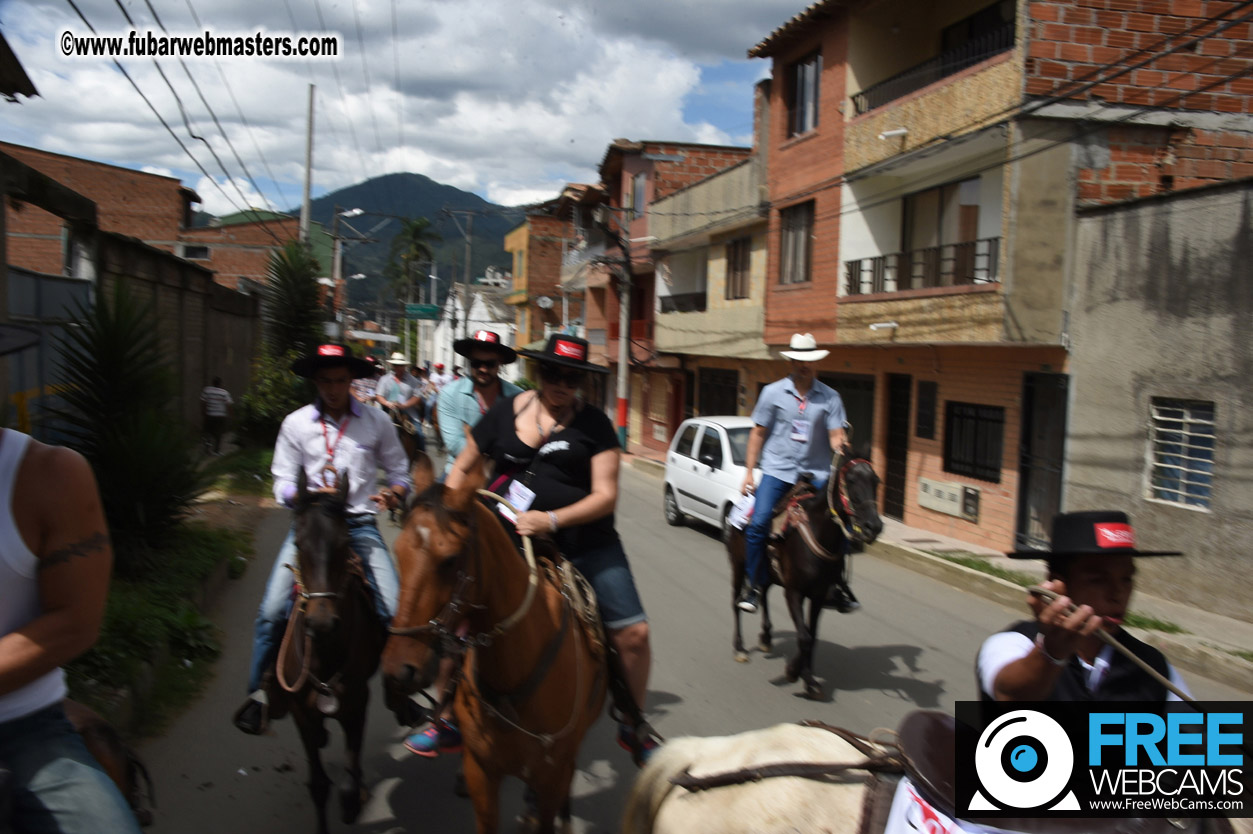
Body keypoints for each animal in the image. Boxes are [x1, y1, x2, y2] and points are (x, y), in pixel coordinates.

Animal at [271, 463, 388, 831]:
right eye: (298, 542)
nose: (321, 623)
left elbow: (348, 785)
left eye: (345, 542)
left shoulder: (357, 706)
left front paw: (353, 805)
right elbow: (319, 785)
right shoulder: (301, 714)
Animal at [721, 450, 887, 696]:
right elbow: (804, 636)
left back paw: (766, 637)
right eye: (851, 480)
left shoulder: (817, 595)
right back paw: (739, 647)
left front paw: (806, 677)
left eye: (876, 481)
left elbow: (812, 635)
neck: (818, 533)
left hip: (769, 572)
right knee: (735, 602)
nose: (873, 526)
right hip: (738, 565)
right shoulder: (794, 592)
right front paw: (794, 673)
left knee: (763, 592)